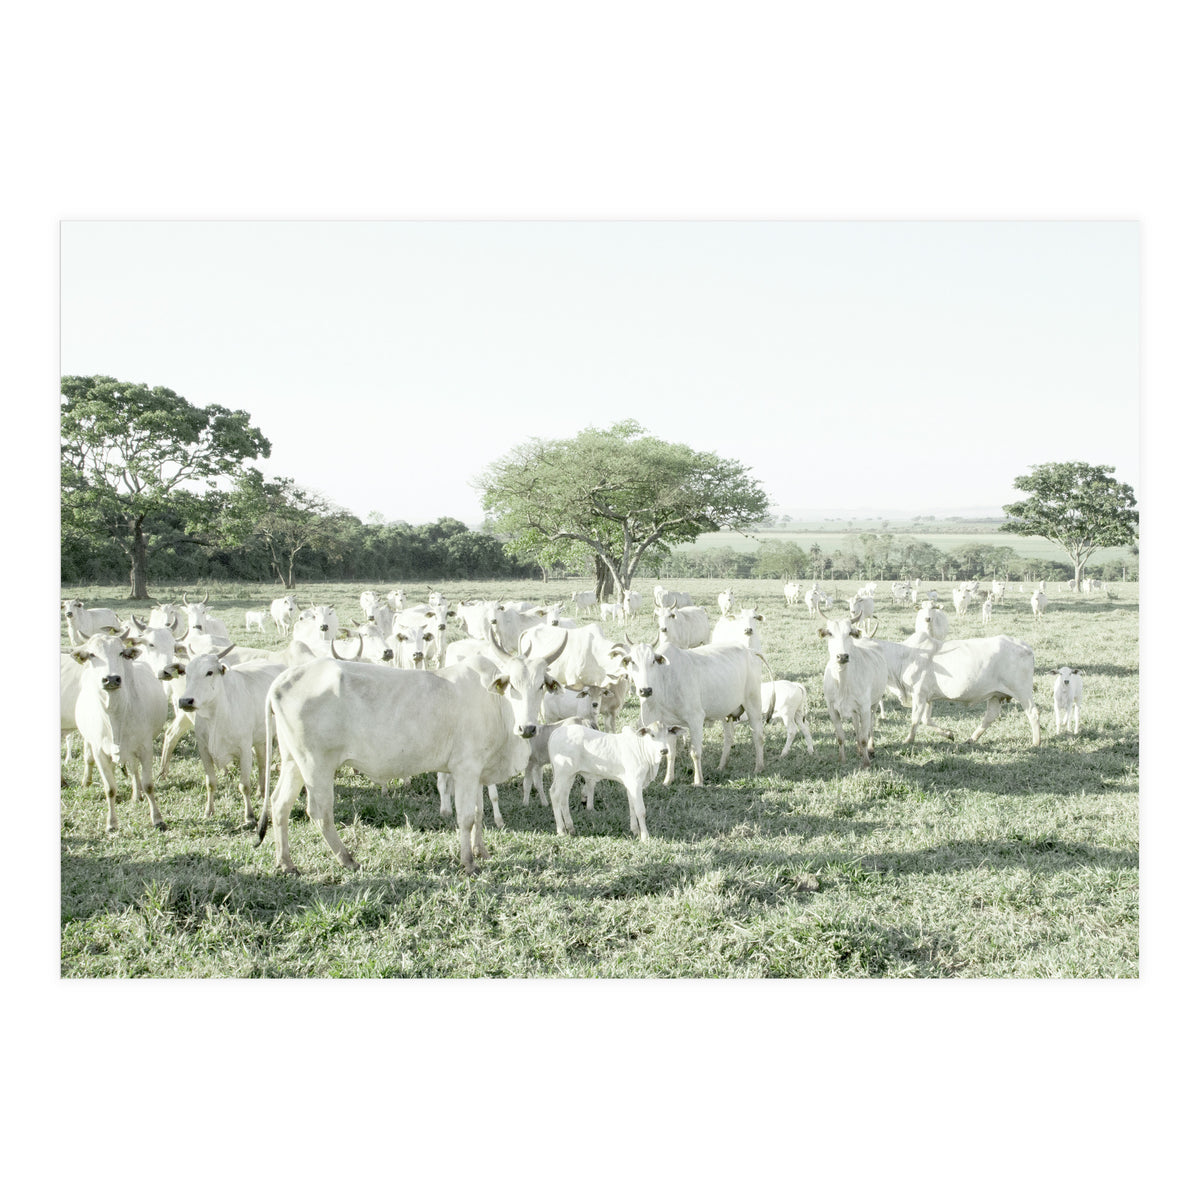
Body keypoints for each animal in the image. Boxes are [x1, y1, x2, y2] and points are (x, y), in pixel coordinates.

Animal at [71, 633, 171, 832]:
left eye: (121, 653)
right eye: (92, 654)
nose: (111, 679)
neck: (116, 715)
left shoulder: (145, 748)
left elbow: (148, 785)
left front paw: (157, 819)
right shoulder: (100, 752)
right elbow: (110, 788)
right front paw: (111, 823)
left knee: (133, 770)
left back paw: (137, 794)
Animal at [175, 648, 287, 826]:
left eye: (209, 672)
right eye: (186, 672)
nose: (186, 701)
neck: (216, 716)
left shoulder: (244, 750)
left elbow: (244, 785)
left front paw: (249, 816)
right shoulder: (204, 750)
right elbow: (210, 783)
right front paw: (208, 811)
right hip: (260, 739)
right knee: (262, 763)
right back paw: (261, 791)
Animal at [257, 631, 567, 874]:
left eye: (541, 685)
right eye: (512, 685)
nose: (527, 728)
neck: (495, 704)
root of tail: (285, 678)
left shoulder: (478, 771)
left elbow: (479, 813)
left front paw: (482, 851)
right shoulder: (465, 768)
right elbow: (466, 817)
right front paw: (468, 862)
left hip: (293, 762)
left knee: (279, 803)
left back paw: (286, 862)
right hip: (316, 765)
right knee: (320, 812)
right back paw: (347, 859)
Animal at [616, 641, 764, 786]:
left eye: (653, 661)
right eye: (632, 662)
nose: (645, 690)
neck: (663, 682)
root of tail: (749, 650)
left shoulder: (696, 719)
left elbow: (695, 752)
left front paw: (698, 781)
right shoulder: (667, 725)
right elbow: (670, 754)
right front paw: (668, 780)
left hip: (753, 704)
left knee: (758, 736)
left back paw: (758, 767)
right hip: (726, 713)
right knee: (729, 737)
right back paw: (721, 766)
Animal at [819, 618, 888, 767]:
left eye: (850, 632)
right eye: (830, 633)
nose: (842, 656)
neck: (842, 682)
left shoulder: (865, 707)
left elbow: (864, 737)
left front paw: (866, 762)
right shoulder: (832, 708)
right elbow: (840, 737)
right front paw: (842, 759)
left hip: (874, 702)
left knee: (871, 724)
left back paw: (870, 748)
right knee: (856, 724)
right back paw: (860, 750)